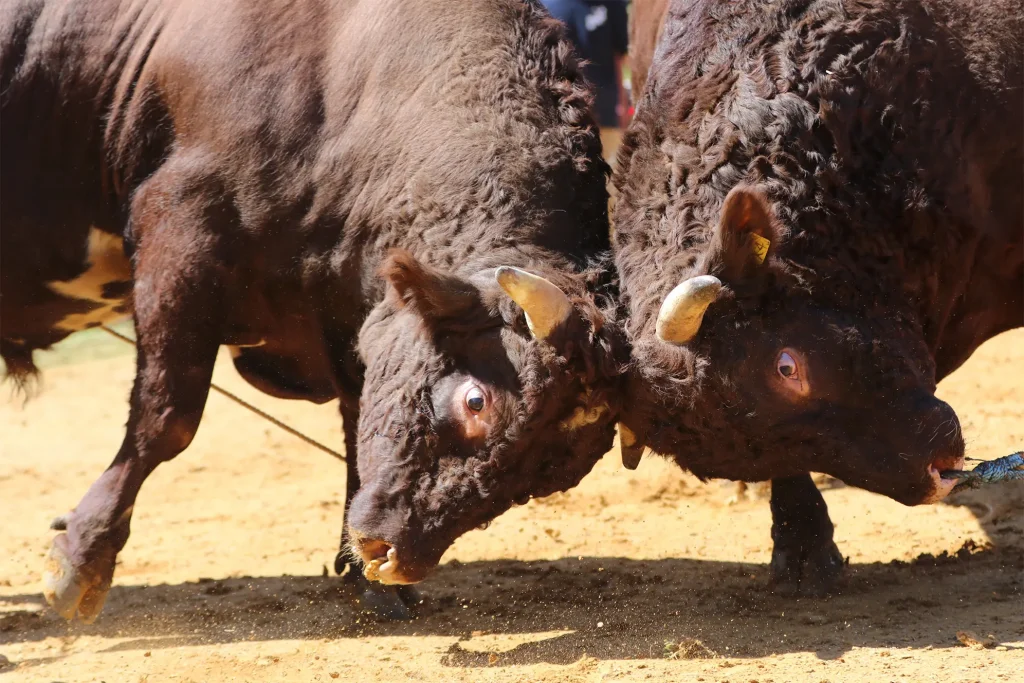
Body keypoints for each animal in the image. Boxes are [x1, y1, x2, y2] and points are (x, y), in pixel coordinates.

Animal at [0, 0, 626, 622]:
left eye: (547, 473)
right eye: (476, 402)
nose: (393, 555)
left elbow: (355, 422)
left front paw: (370, 582)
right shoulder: (180, 233)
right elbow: (166, 414)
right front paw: (82, 556)